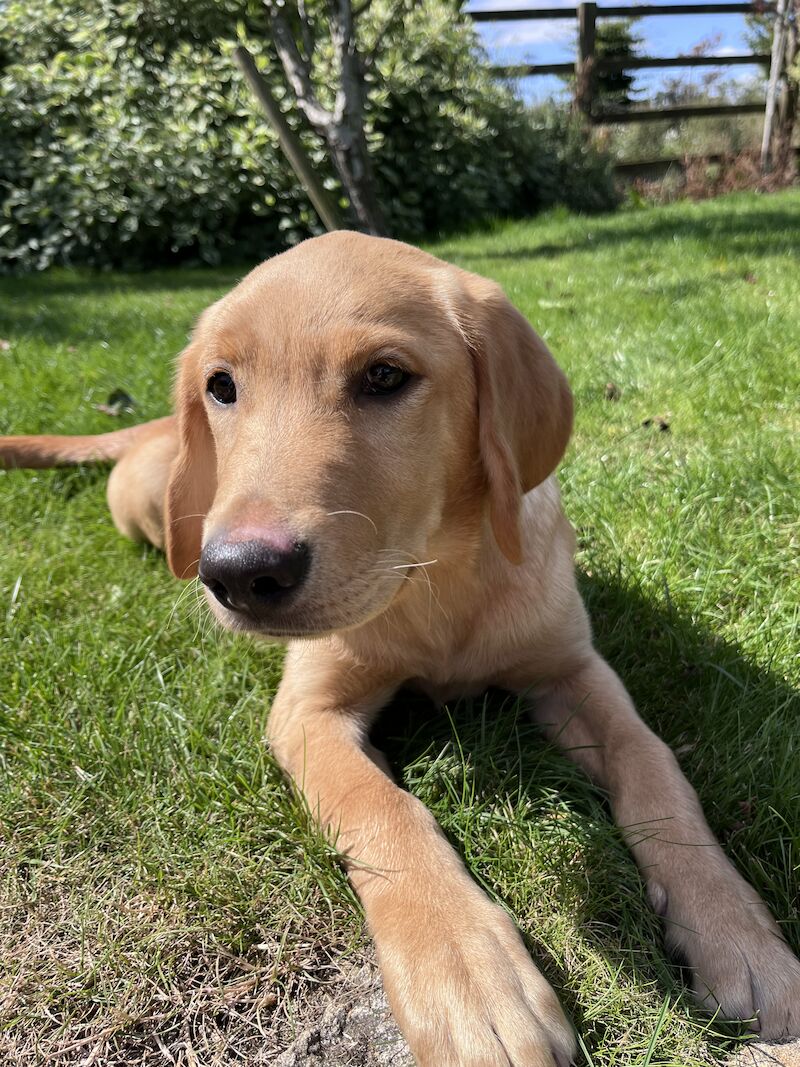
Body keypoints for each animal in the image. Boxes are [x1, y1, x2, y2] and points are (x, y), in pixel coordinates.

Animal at [3, 235, 797, 1067]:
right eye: (222, 386)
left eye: (385, 376)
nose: (239, 574)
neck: (433, 578)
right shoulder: (308, 711)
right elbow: (381, 806)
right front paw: (467, 978)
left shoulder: (572, 667)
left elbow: (654, 764)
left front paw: (740, 934)